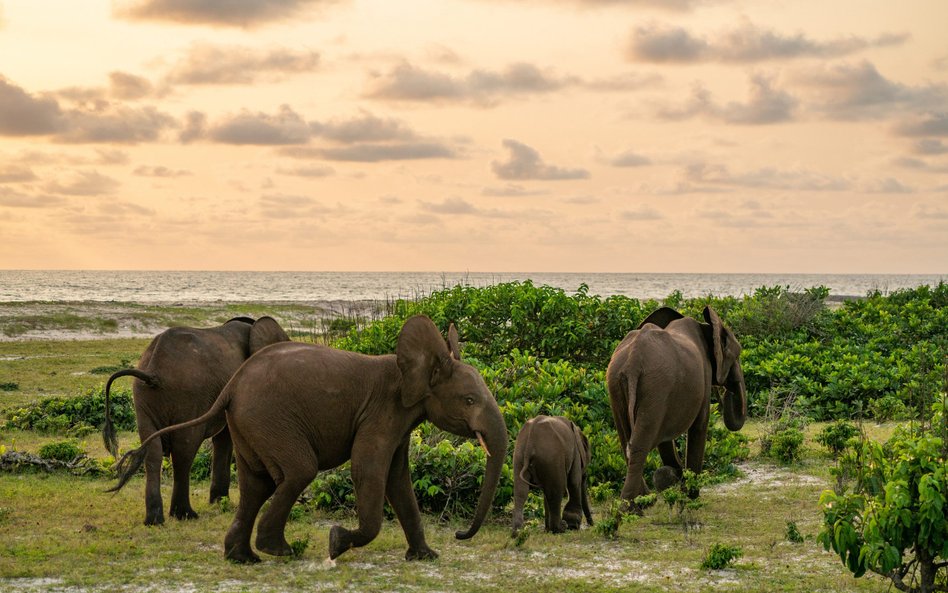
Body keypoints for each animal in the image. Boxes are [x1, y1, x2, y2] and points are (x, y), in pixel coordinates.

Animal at [102, 316, 288, 524]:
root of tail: (152, 372)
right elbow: (225, 439)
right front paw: (220, 502)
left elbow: (222, 439)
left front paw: (219, 502)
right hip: (188, 397)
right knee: (184, 451)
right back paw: (185, 514)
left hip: (143, 398)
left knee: (152, 452)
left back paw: (154, 520)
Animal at [608, 308, 748, 506]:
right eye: (737, 356)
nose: (727, 393)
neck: (706, 327)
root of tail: (632, 363)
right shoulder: (702, 378)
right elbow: (699, 427)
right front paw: (690, 494)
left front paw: (674, 477)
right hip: (655, 387)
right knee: (639, 445)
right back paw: (633, 506)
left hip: (616, 385)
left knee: (626, 441)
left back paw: (644, 500)